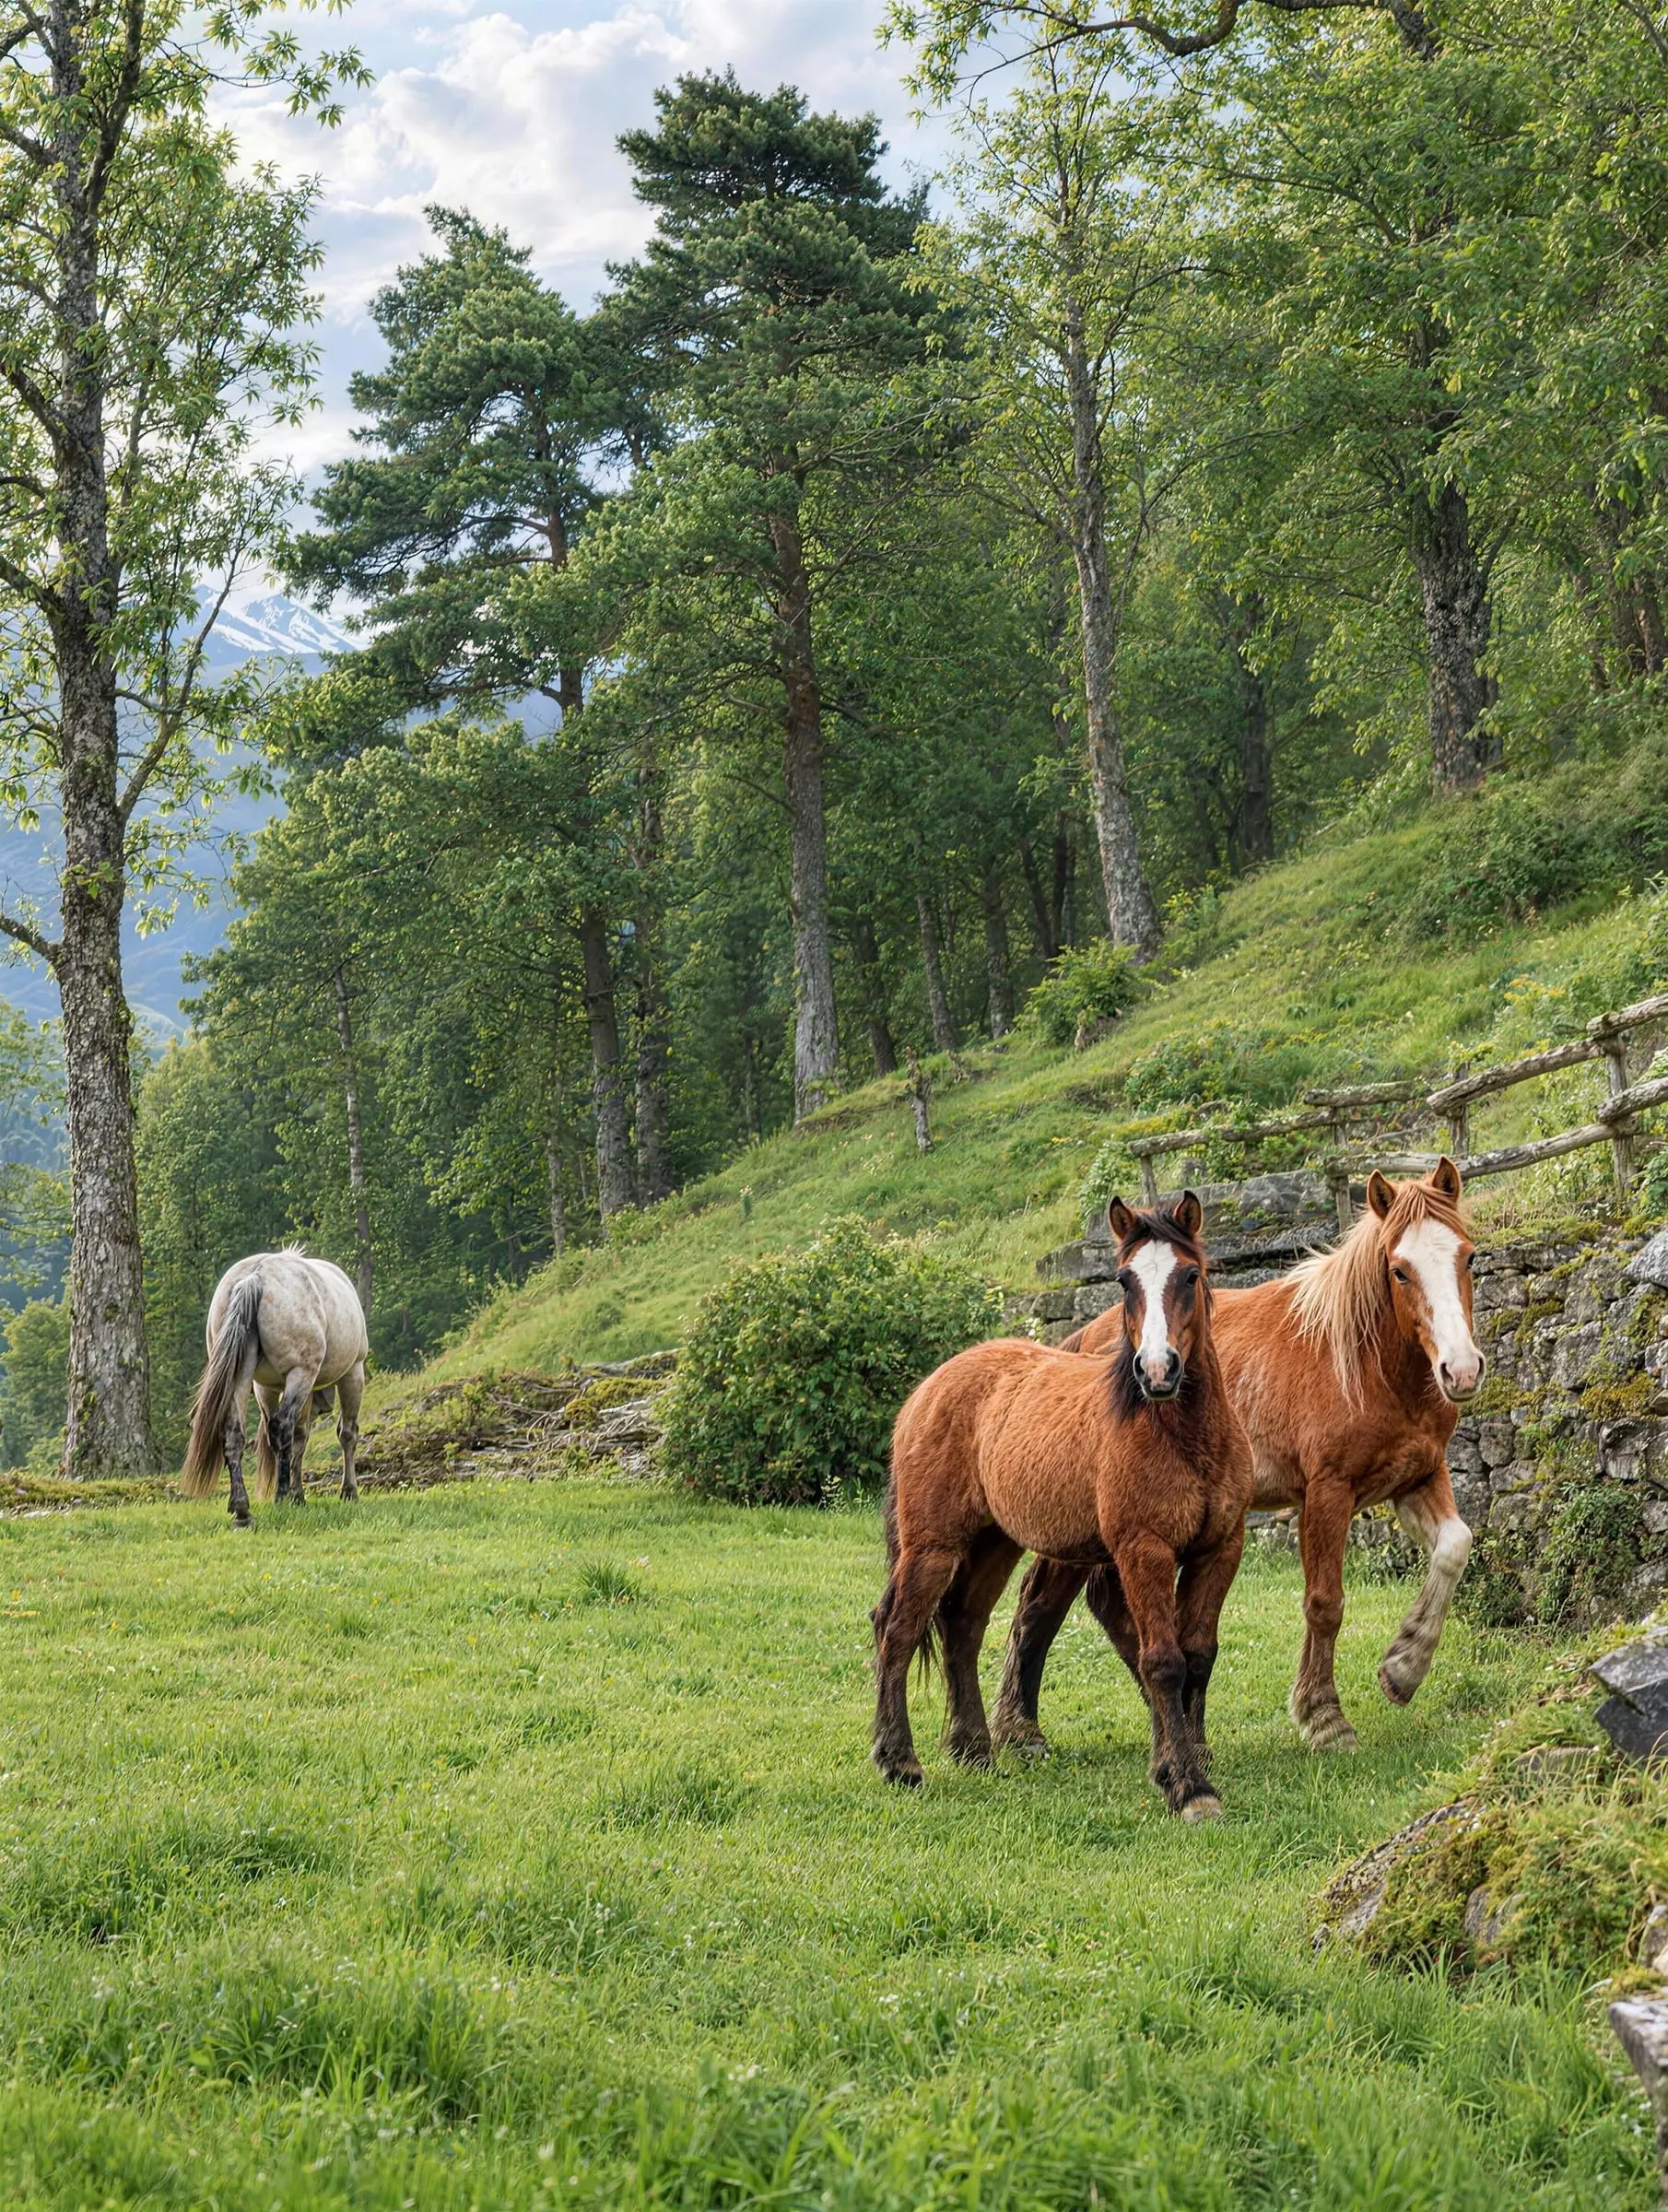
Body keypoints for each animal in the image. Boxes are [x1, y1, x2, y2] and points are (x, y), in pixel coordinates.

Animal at [180, 1251, 369, 1525]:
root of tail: (255, 1276)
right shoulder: (352, 1373)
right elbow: (346, 1434)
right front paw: (348, 1490)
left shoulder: (265, 1388)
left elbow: (299, 1438)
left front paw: (298, 1493)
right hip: (303, 1373)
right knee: (283, 1426)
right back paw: (280, 1495)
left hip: (243, 1375)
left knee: (234, 1432)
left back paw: (242, 1509)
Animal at [873, 1193, 1253, 1818]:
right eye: (1124, 1280)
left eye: (1191, 1275)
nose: (1157, 1370)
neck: (1181, 1437)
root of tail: (927, 1390)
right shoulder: (1142, 1551)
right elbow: (1163, 1661)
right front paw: (1190, 1787)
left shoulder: (1219, 1549)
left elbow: (1198, 1654)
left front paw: (1186, 1759)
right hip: (932, 1545)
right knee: (897, 1629)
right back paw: (899, 1761)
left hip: (994, 1544)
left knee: (963, 1624)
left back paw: (975, 1749)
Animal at [991, 1160, 1482, 1759]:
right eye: (1399, 1271)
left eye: (1468, 1256)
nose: (1461, 1369)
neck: (1364, 1363)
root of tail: (1080, 1341)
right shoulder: (1327, 1493)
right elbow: (1325, 1602)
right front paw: (1324, 1717)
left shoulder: (1417, 1477)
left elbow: (1455, 1548)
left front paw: (1404, 1667)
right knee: (1041, 1602)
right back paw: (1024, 1729)